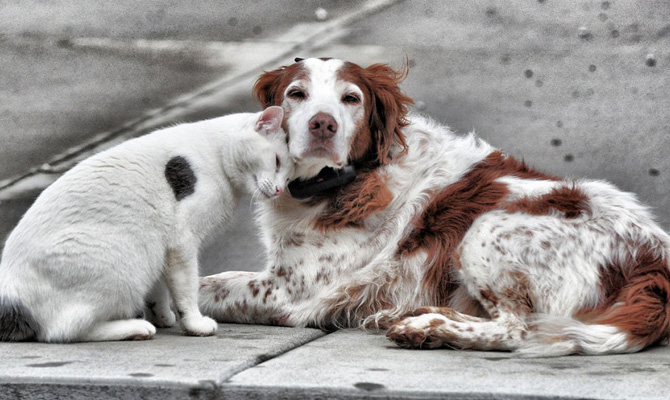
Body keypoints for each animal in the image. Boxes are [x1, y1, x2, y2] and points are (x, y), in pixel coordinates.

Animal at [0, 106, 294, 344]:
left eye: (289, 175)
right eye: (277, 161)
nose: (280, 189)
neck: (216, 153)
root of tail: (11, 297)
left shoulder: (163, 245)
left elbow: (161, 286)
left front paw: (162, 314)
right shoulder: (182, 241)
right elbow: (186, 288)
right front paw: (194, 324)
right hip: (124, 259)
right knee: (62, 331)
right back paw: (136, 327)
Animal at [201, 57, 670, 356]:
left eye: (351, 99)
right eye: (296, 93)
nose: (323, 124)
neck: (344, 181)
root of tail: (654, 262)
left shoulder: (292, 292)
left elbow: (210, 286)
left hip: (485, 232)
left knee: (517, 328)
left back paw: (423, 328)